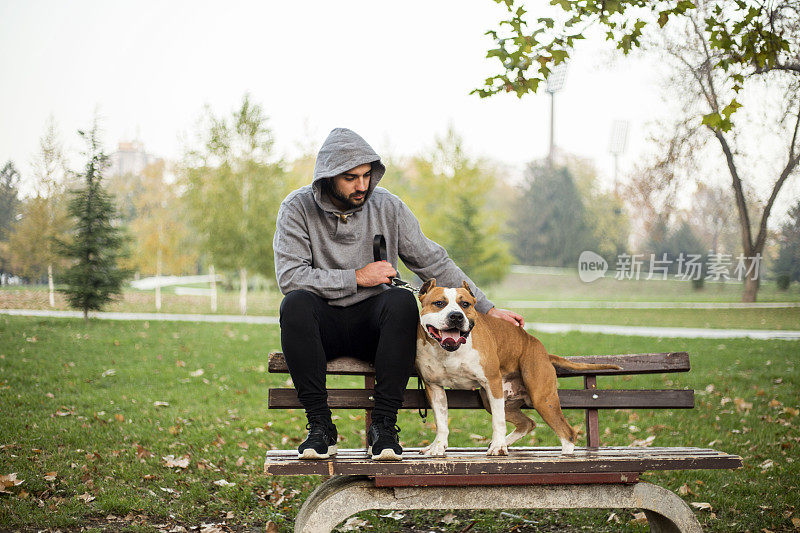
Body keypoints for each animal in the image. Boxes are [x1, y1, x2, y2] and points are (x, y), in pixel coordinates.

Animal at [416, 276, 620, 456]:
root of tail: (544, 352)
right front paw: (439, 446)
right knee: (528, 423)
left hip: (541, 398)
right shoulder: (435, 388)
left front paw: (498, 447)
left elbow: (498, 421)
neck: (450, 351)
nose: (456, 316)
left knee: (566, 432)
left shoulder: (492, 383)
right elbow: (441, 422)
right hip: (491, 398)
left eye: (465, 304)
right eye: (439, 303)